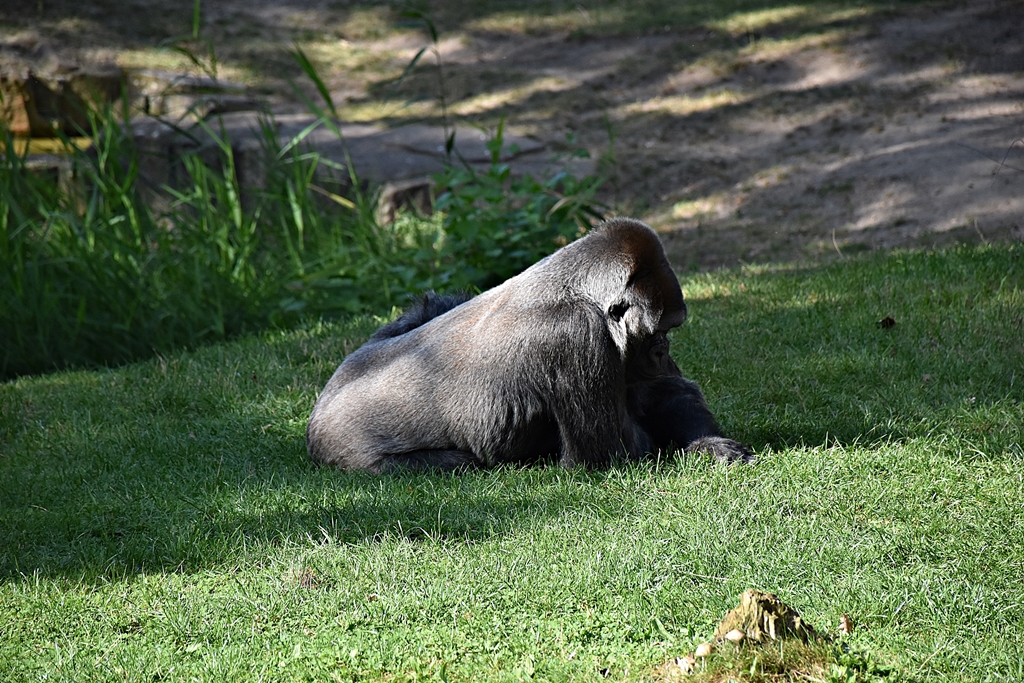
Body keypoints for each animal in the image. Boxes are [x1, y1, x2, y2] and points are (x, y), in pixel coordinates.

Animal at [306, 217, 752, 472]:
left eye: (670, 331)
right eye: (658, 332)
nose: (664, 352)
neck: (578, 288)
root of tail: (317, 410)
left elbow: (666, 393)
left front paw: (707, 444)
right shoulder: (574, 334)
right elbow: (610, 454)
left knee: (431, 303)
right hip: (347, 451)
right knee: (459, 464)